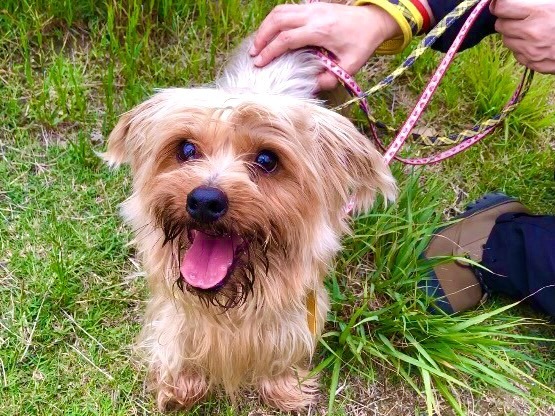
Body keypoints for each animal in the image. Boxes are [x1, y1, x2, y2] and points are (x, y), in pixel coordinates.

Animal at [104, 37, 396, 411]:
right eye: (186, 149)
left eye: (267, 159)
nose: (204, 200)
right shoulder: (175, 308)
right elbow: (177, 337)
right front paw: (181, 384)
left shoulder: (296, 308)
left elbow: (285, 347)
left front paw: (284, 386)